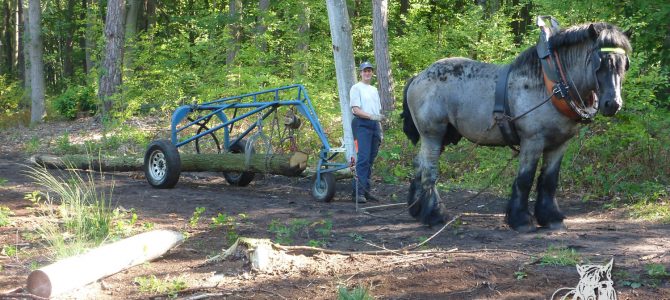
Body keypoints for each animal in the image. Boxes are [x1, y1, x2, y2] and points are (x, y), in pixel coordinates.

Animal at [402, 21, 632, 232]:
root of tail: (418, 77)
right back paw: (435, 215)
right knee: (429, 171)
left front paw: (551, 217)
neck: (552, 84)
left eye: (624, 64)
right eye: (599, 62)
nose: (613, 104)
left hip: (443, 137)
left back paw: (417, 209)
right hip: (433, 134)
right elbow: (525, 179)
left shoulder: (559, 144)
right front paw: (521, 219)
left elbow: (549, 180)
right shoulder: (532, 141)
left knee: (419, 165)